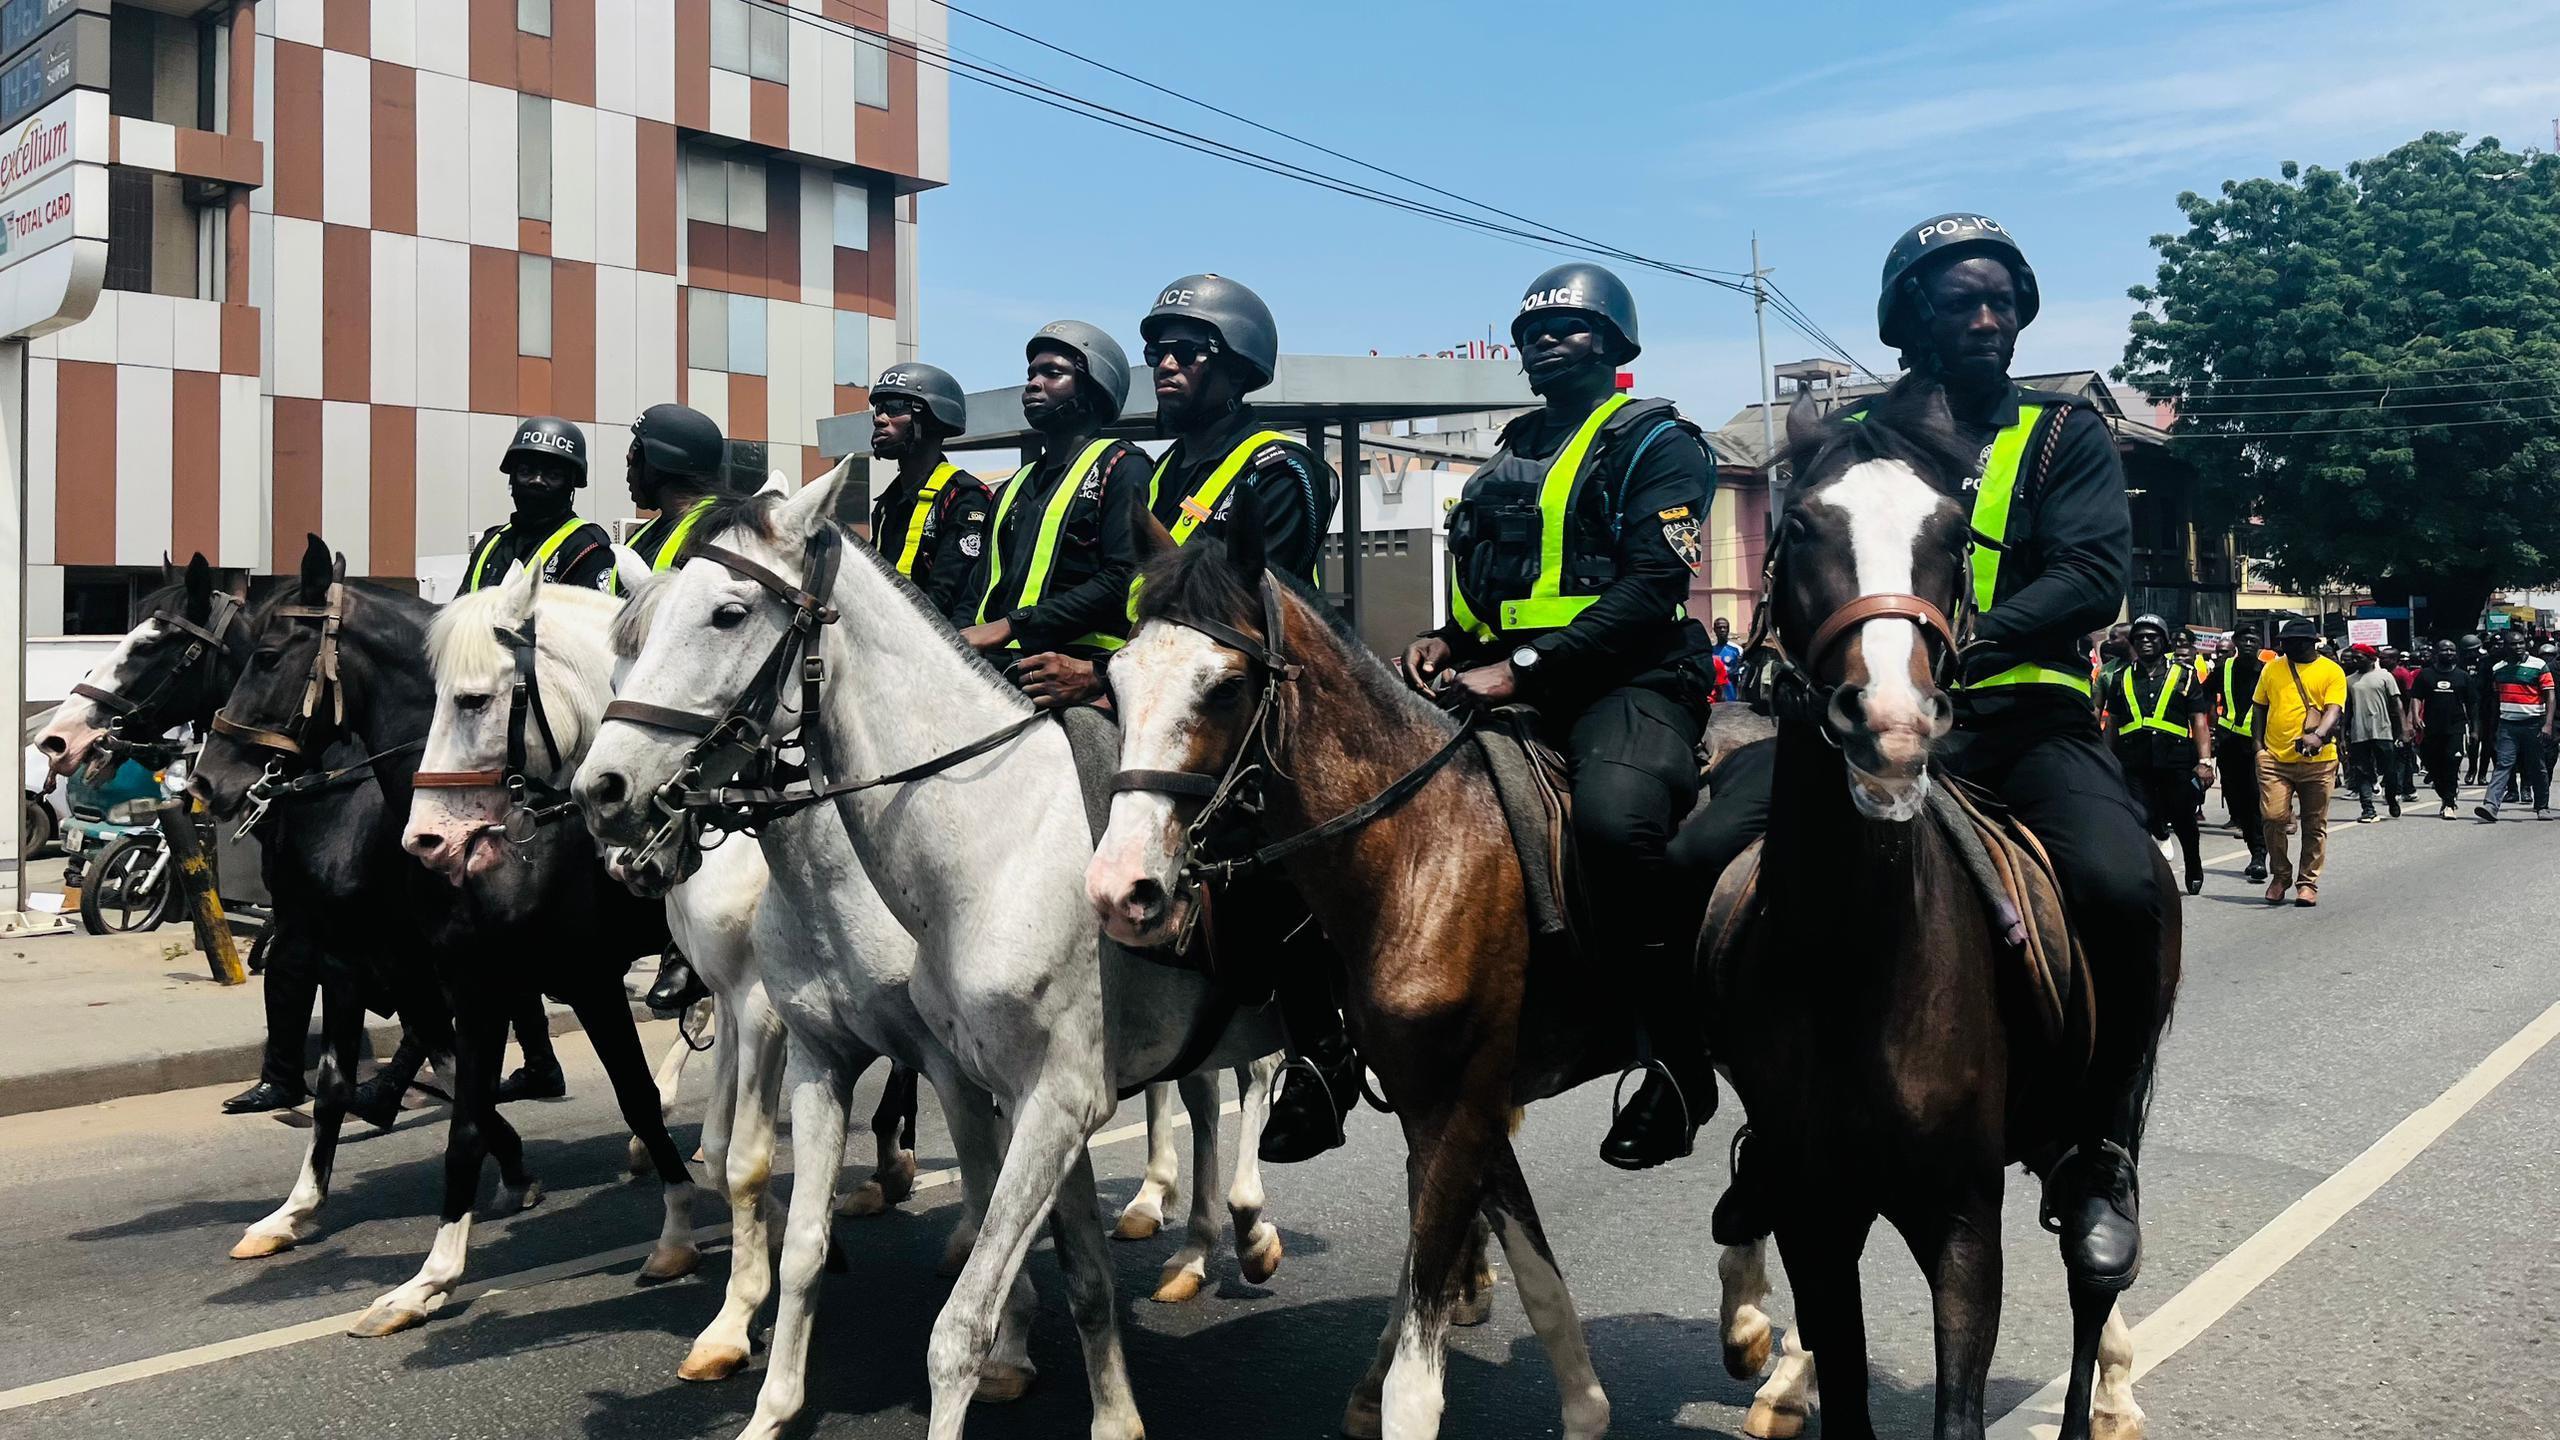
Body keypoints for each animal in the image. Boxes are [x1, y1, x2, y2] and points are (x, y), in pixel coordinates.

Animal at [192, 532, 701, 1332]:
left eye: (267, 656)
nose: (208, 781)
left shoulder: (581, 980)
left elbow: (634, 1095)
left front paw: (675, 1232)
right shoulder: (426, 973)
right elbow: (412, 1103)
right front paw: (409, 1267)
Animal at [583, 468, 1290, 1434]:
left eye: (728, 614)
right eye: (620, 653)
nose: (603, 795)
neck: (988, 836)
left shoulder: (977, 1076)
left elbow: (978, 1245)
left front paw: (1005, 1351)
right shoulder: (815, 1047)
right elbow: (788, 1220)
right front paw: (766, 1397)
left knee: (1255, 1083)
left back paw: (1245, 1233)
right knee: (1204, 1096)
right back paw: (1193, 1248)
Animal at [1720, 381, 2181, 1434]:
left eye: (1949, 533)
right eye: (1800, 527)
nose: (1890, 724)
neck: (1856, 958)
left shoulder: (1963, 1223)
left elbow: (1958, 1407)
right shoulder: (1816, 1213)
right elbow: (1843, 1385)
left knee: (2092, 1275)